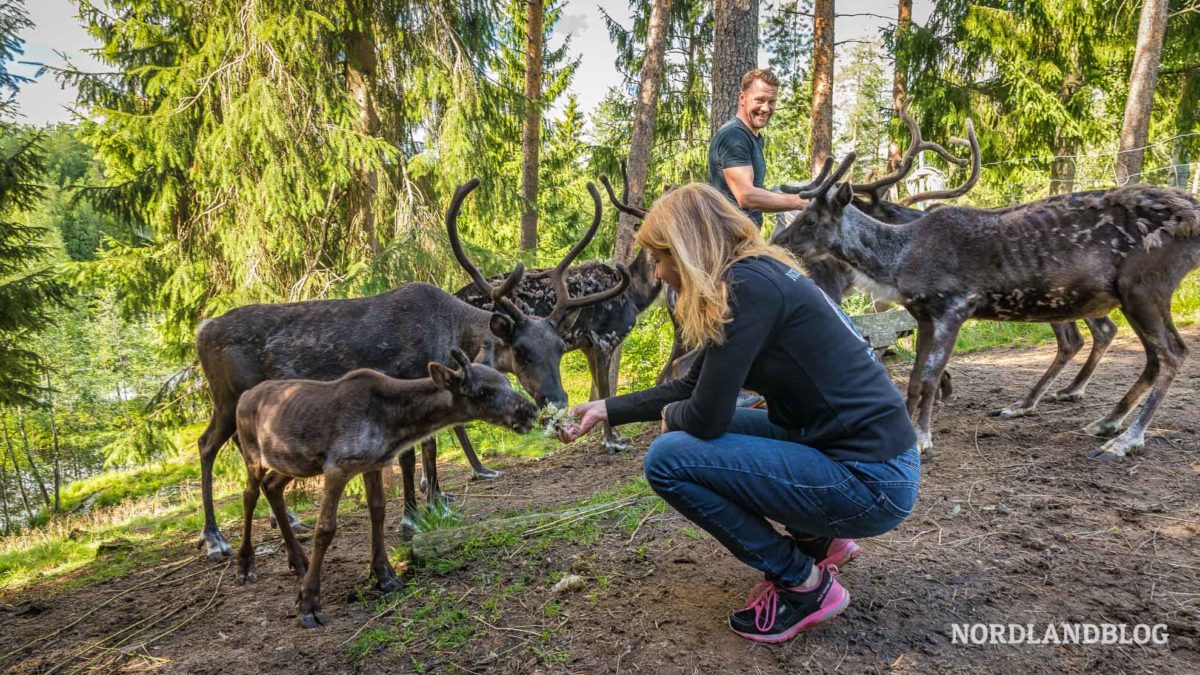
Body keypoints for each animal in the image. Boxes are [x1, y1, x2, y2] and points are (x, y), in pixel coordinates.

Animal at [234, 345, 535, 624]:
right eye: (483, 391)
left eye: (506, 381)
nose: (530, 410)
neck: (394, 421)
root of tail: (244, 397)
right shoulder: (337, 468)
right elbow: (325, 529)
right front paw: (308, 602)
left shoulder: (372, 465)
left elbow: (378, 512)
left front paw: (384, 576)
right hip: (253, 455)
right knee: (249, 495)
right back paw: (245, 564)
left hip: (294, 463)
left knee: (272, 486)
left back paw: (298, 561)